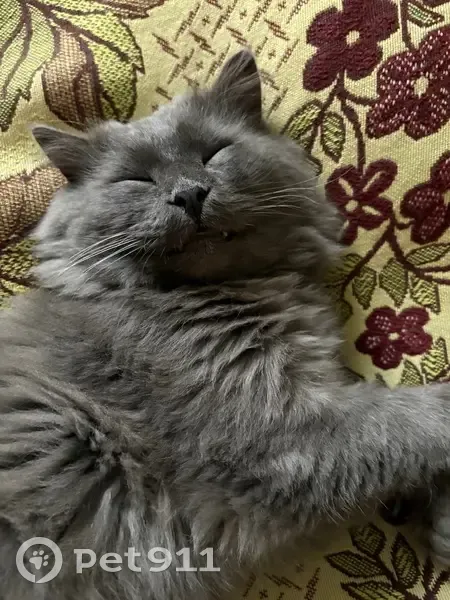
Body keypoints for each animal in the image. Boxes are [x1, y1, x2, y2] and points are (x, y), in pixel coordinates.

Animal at [0, 49, 450, 600]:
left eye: (213, 153)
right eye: (136, 180)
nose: (189, 194)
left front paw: (441, 525)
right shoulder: (276, 431)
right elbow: (418, 417)